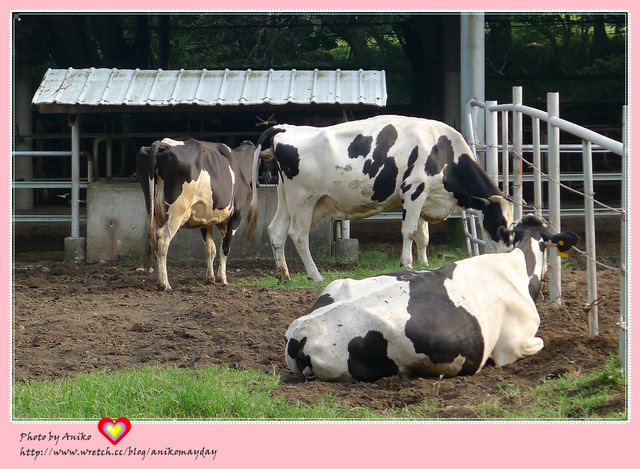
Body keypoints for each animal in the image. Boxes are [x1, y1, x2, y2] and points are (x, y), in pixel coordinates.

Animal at [137, 137, 255, 288]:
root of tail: (162, 143)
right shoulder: (236, 215)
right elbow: (225, 247)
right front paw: (222, 278)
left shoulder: (205, 219)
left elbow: (210, 249)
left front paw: (210, 278)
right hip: (177, 209)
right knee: (163, 238)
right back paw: (165, 284)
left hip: (153, 208)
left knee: (156, 243)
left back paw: (159, 280)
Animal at [246, 113, 516, 282]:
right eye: (501, 226)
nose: (508, 255)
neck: (442, 151)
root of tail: (286, 127)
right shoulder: (414, 190)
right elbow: (409, 231)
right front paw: (407, 263)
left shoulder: (425, 198)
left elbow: (423, 236)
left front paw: (424, 263)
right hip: (304, 199)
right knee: (299, 235)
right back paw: (315, 275)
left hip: (285, 197)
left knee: (276, 231)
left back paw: (284, 274)